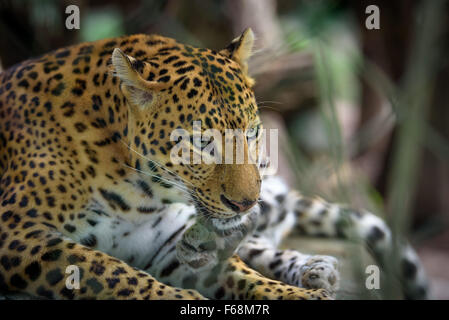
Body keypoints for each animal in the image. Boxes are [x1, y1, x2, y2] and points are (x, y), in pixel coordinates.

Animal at [0, 28, 428, 300]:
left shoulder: (166, 242)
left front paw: (298, 294)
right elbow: (112, 273)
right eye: (201, 143)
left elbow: (243, 275)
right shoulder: (19, 230)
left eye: (253, 133)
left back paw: (313, 268)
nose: (245, 201)